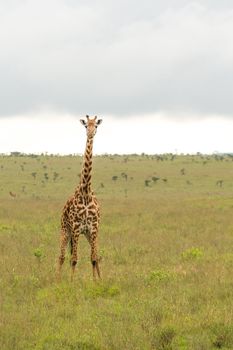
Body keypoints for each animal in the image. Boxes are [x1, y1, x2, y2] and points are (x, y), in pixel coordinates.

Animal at [57, 116, 102, 280]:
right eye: (85, 126)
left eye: (96, 126)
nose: (90, 133)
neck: (86, 192)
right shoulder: (76, 228)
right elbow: (74, 259)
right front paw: (71, 282)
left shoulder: (93, 229)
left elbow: (94, 258)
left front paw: (96, 282)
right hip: (65, 230)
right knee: (62, 256)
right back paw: (57, 280)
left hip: (87, 234)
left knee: (96, 255)